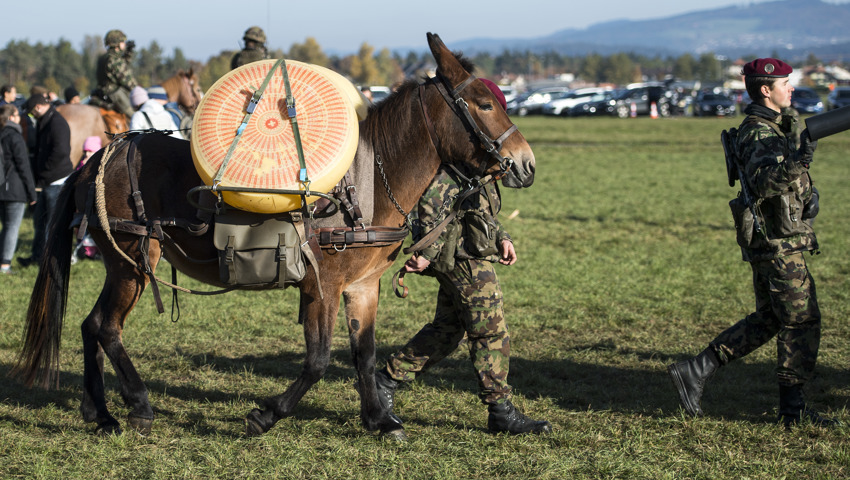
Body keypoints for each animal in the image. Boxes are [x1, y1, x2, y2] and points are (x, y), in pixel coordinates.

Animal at [13, 32, 532, 438]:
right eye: (485, 103)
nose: (524, 164)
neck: (365, 184)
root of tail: (96, 160)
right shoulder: (323, 287)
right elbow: (319, 360)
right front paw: (267, 415)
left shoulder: (363, 287)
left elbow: (364, 355)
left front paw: (379, 420)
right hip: (134, 263)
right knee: (105, 326)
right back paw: (136, 405)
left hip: (122, 265)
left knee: (89, 325)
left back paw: (97, 411)